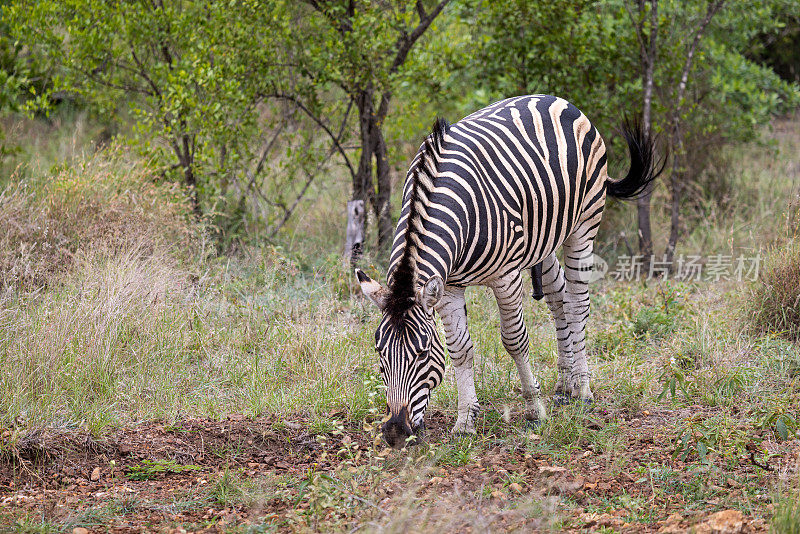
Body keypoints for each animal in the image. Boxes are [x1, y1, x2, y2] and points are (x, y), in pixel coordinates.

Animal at [354, 95, 656, 448]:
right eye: (380, 353)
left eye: (422, 353)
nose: (395, 432)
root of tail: (555, 99)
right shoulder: (449, 285)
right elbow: (460, 349)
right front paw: (465, 421)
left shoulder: (506, 277)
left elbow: (514, 340)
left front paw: (534, 410)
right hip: (543, 238)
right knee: (559, 299)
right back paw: (564, 386)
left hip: (584, 223)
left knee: (577, 304)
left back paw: (582, 389)